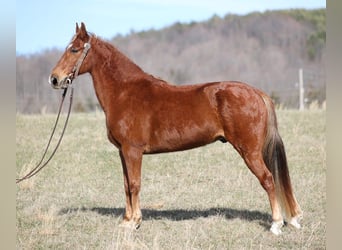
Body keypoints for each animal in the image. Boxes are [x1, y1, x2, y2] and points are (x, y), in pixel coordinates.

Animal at [49, 22, 300, 234]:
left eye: (74, 50)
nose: (54, 79)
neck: (124, 92)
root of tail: (256, 92)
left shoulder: (133, 151)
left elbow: (134, 184)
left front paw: (135, 222)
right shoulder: (122, 152)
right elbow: (126, 185)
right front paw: (127, 220)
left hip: (250, 151)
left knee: (268, 179)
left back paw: (276, 224)